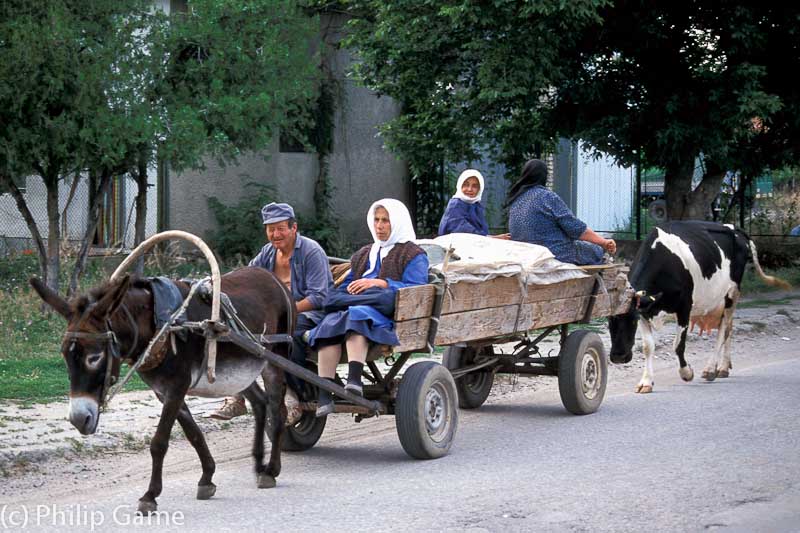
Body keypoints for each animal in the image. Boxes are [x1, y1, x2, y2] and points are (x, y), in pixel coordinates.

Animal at [612, 219, 788, 390]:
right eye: (609, 321)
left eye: (632, 321)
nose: (618, 356)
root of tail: (734, 227)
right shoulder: (644, 310)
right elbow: (648, 347)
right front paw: (646, 382)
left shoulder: (684, 306)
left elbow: (678, 345)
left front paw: (686, 373)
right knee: (729, 328)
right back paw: (723, 367)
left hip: (732, 292)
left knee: (723, 329)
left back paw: (710, 369)